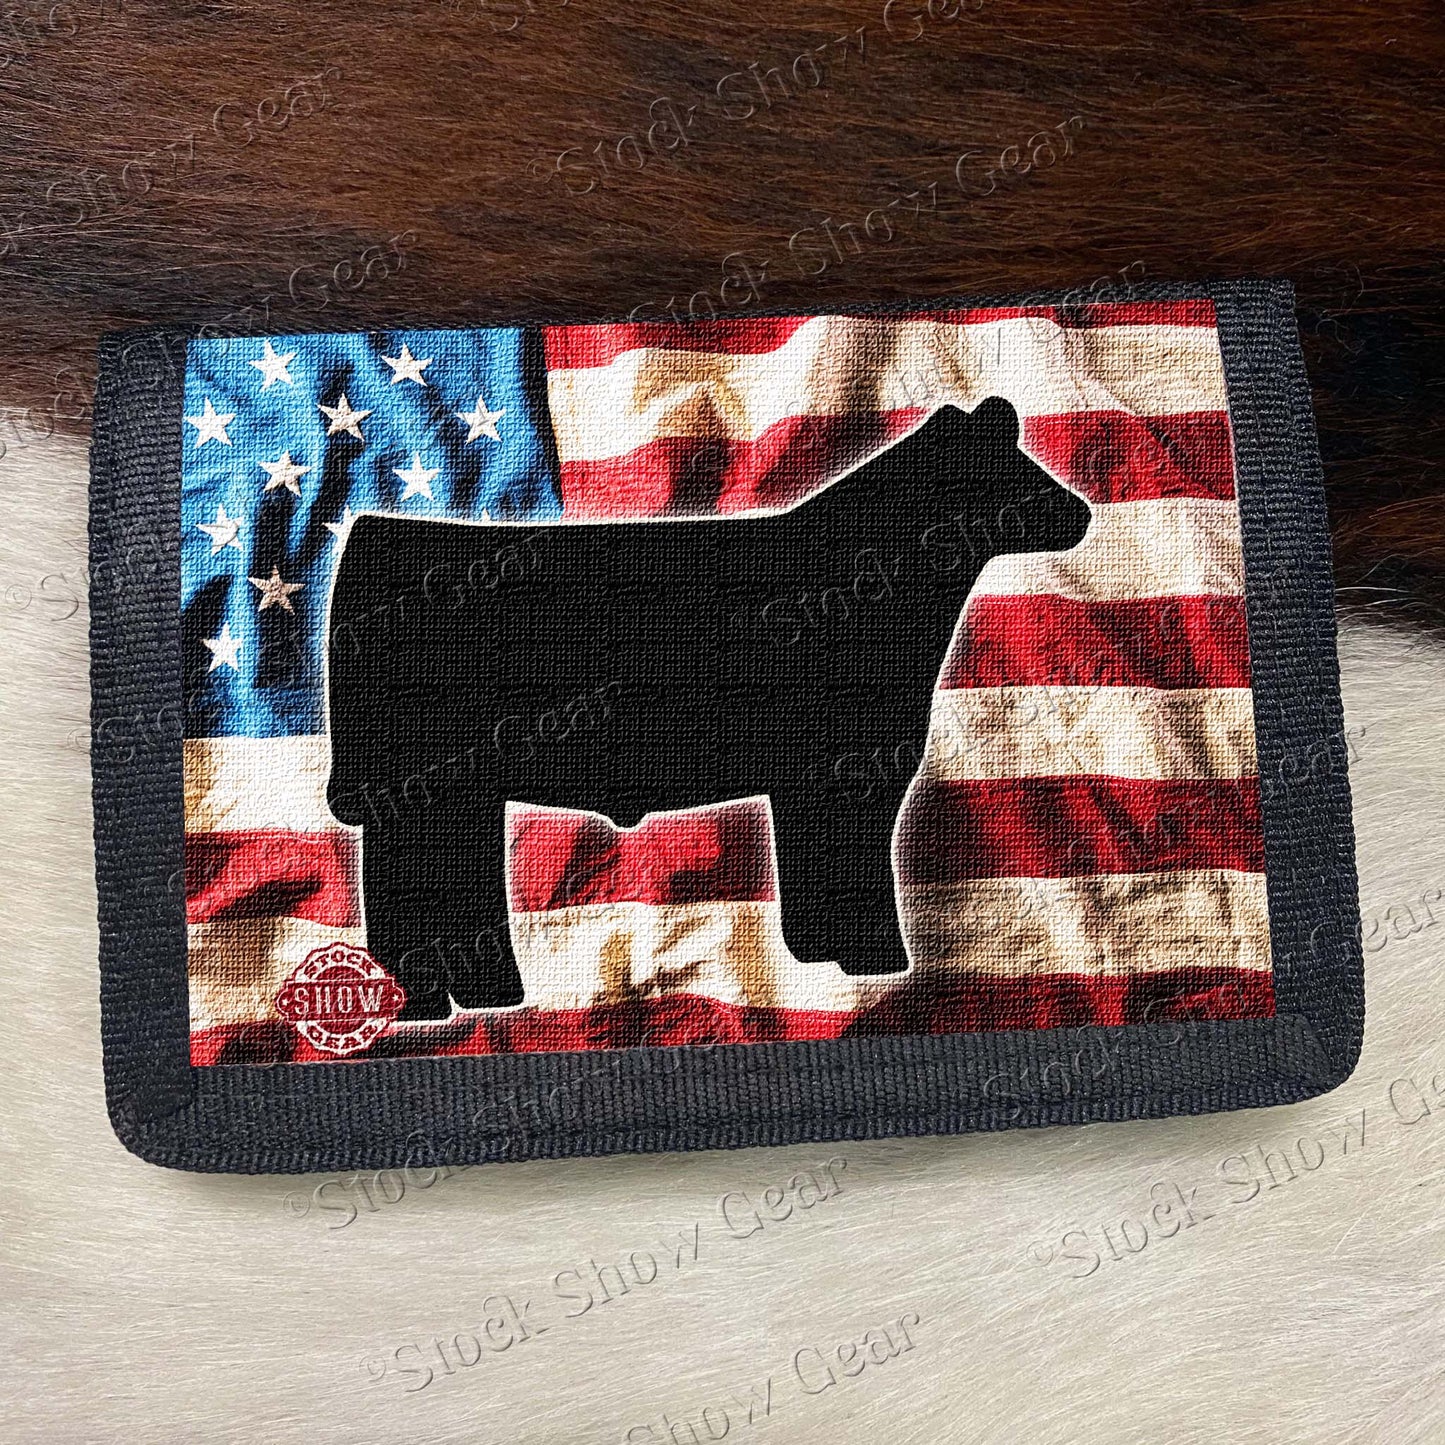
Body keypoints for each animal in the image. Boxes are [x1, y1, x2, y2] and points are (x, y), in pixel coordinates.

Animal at [325, 398, 1092, 1018]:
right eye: (1004, 468)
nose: (1081, 511)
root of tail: (375, 532)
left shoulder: (812, 781)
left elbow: (813, 871)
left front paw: (817, 954)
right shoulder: (852, 769)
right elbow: (854, 869)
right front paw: (876, 959)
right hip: (432, 784)